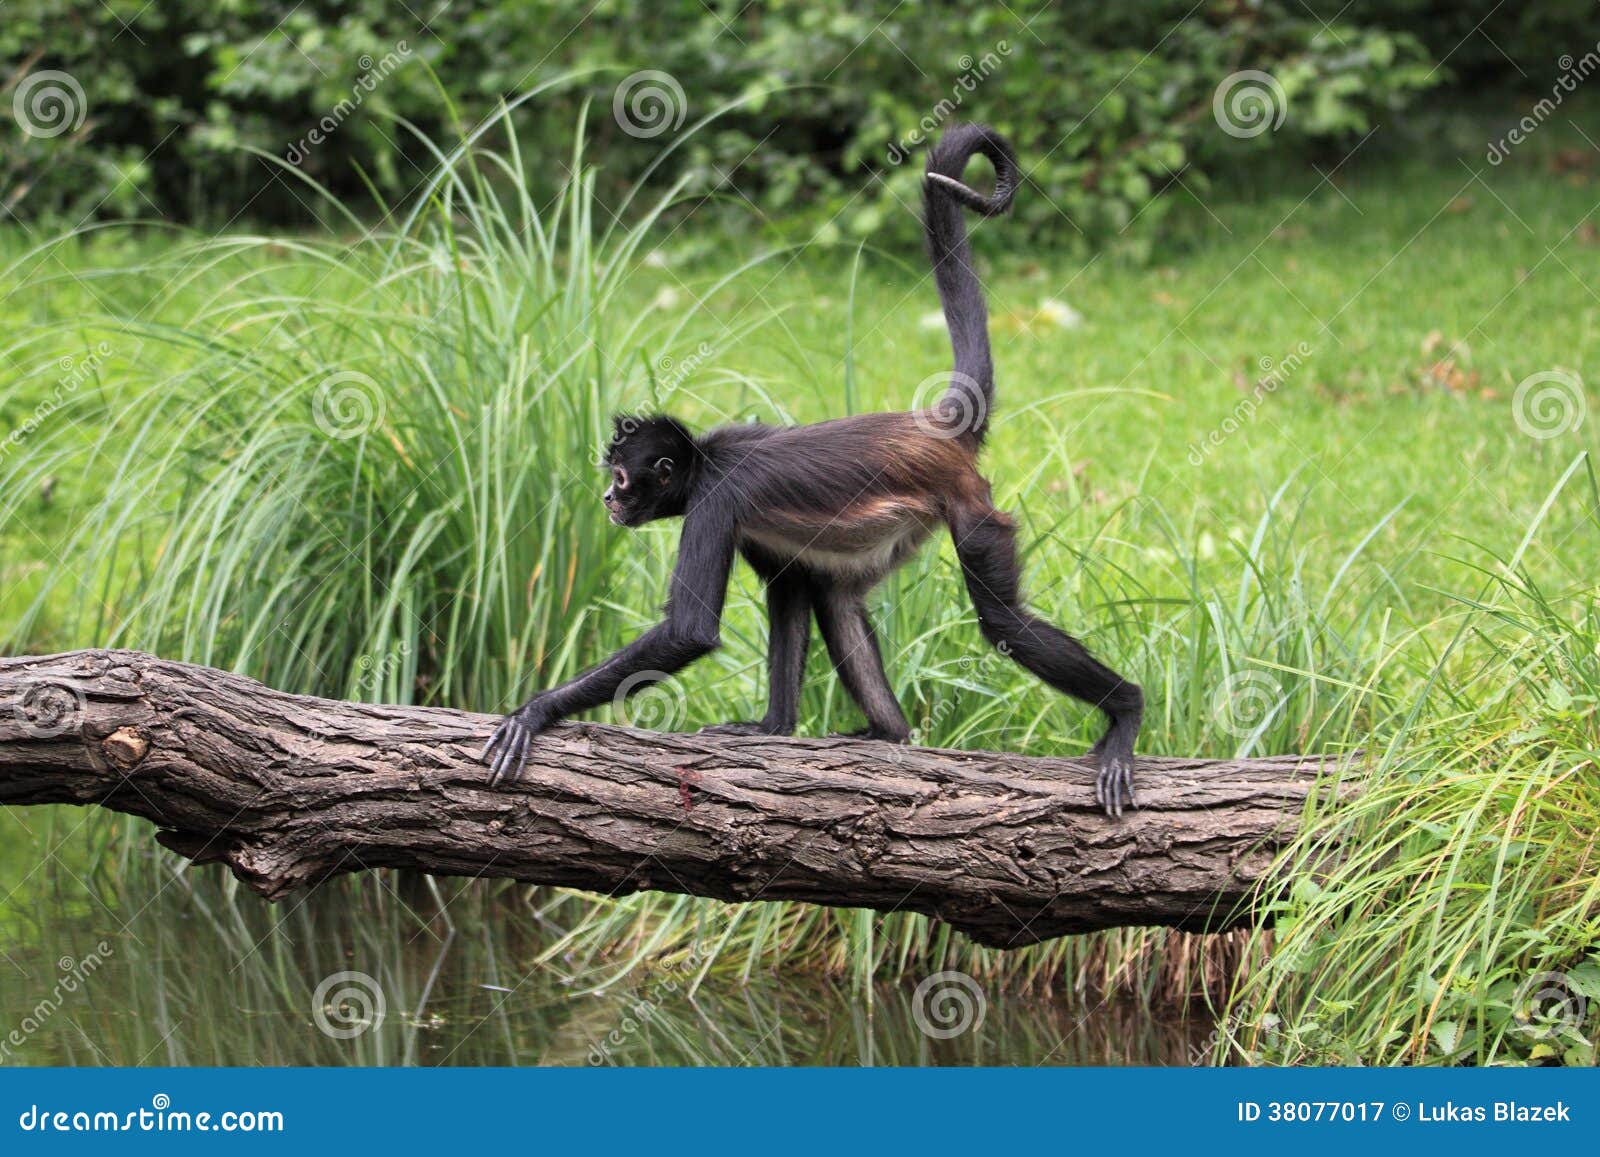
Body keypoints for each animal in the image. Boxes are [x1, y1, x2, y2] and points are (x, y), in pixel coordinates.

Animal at [480, 122, 1145, 819]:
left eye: (621, 478)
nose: (608, 499)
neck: (707, 458)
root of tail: (931, 426)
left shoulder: (716, 500)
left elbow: (690, 631)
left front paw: (535, 711)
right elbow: (792, 588)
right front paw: (774, 728)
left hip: (969, 506)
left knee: (1003, 622)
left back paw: (1126, 709)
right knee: (834, 595)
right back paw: (889, 732)